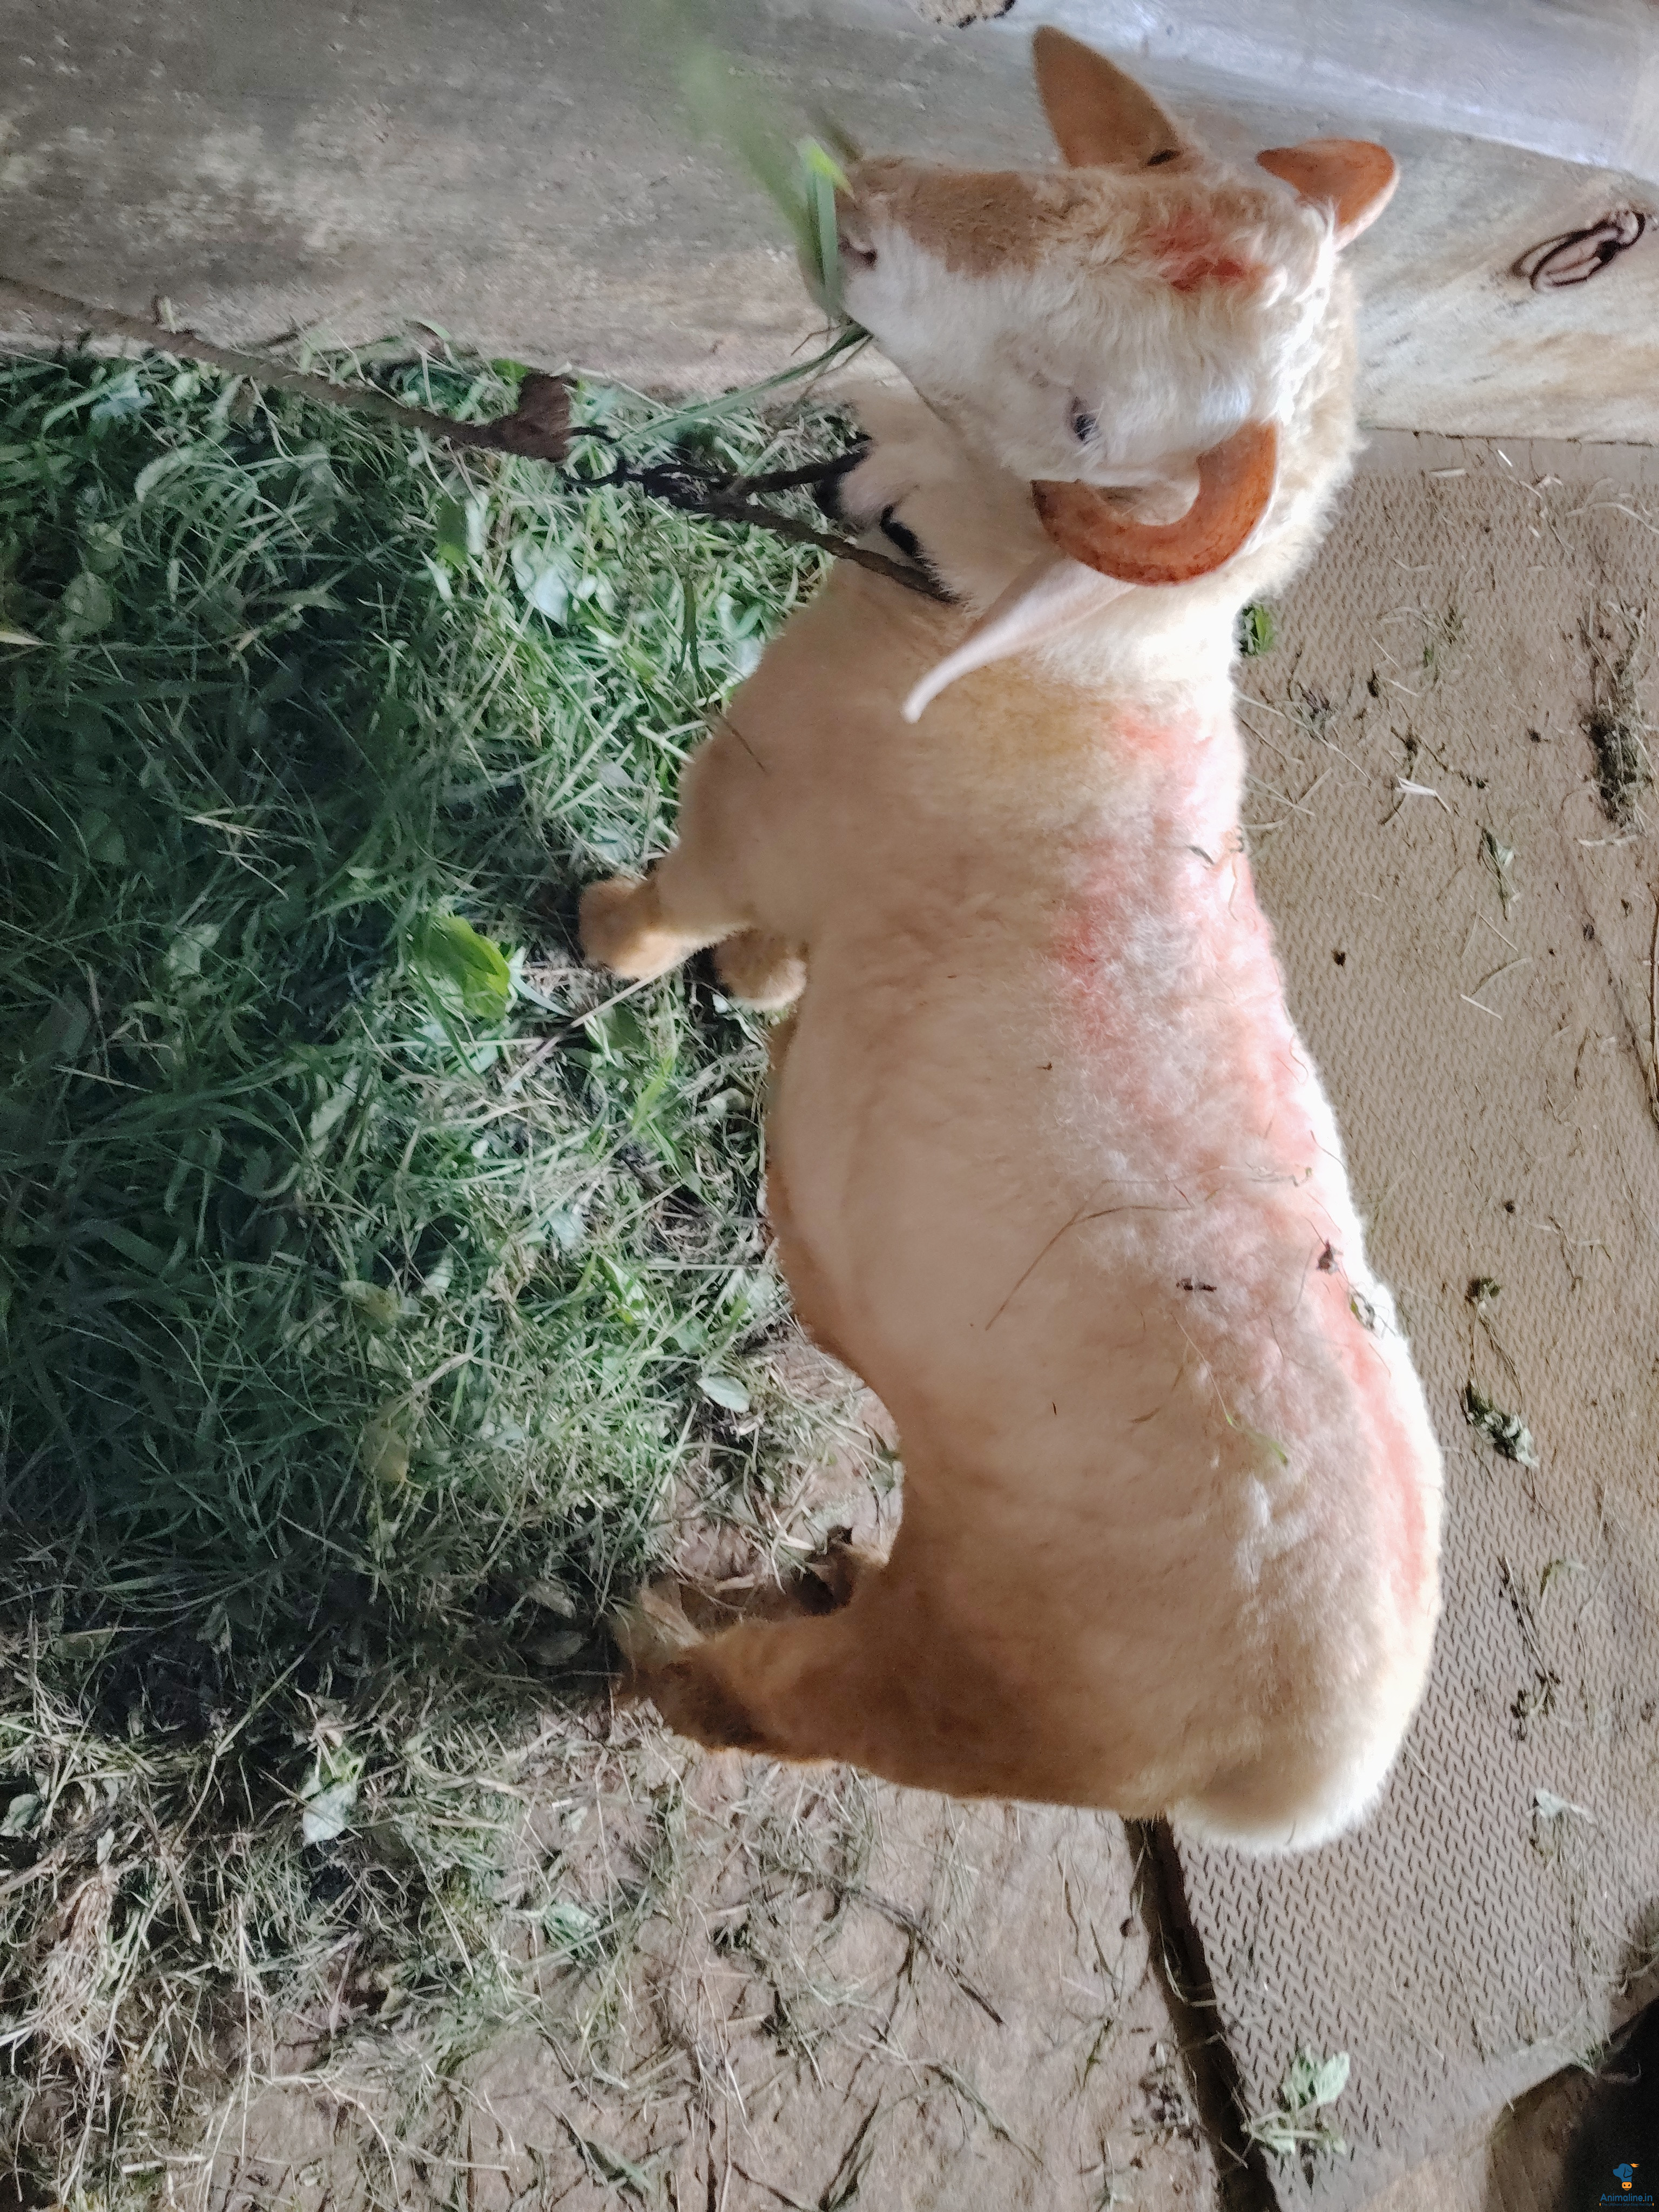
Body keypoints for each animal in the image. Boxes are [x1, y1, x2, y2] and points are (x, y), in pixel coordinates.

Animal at [580, 27, 1442, 1853]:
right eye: (1139, 176)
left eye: (1088, 419)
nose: (868, 204)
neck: (1070, 670)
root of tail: (1316, 1778)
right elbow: (784, 957)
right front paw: (761, 991)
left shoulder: (758, 785)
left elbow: (685, 891)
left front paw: (611, 933)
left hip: (990, 1679)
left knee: (792, 1712)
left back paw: (666, 1639)